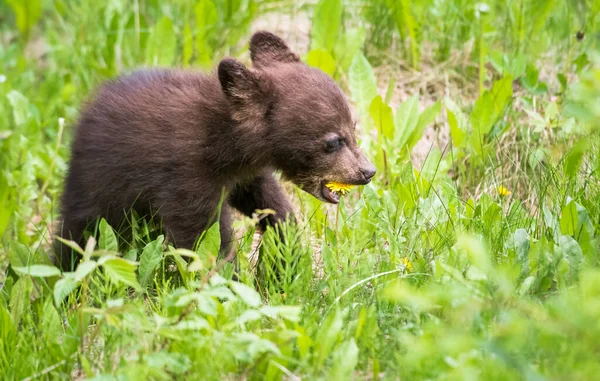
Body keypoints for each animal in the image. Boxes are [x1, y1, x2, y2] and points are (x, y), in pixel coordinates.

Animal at [56, 31, 376, 270]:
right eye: (333, 141)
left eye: (353, 127)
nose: (368, 171)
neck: (223, 142)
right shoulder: (188, 175)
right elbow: (202, 237)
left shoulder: (245, 172)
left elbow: (266, 197)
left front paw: (284, 246)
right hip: (98, 191)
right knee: (77, 233)